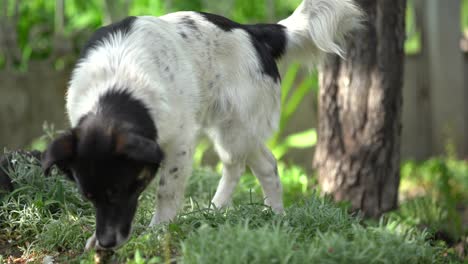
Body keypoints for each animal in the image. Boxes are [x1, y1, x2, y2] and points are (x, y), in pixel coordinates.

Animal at [42, 0, 362, 252]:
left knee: (253, 164)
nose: (107, 243)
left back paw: (249, 212)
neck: (119, 87)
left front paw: (157, 232)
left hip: (236, 128)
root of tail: (253, 32)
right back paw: (243, 212)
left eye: (122, 190)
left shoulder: (179, 143)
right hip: (231, 129)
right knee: (256, 163)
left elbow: (167, 191)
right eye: (87, 196)